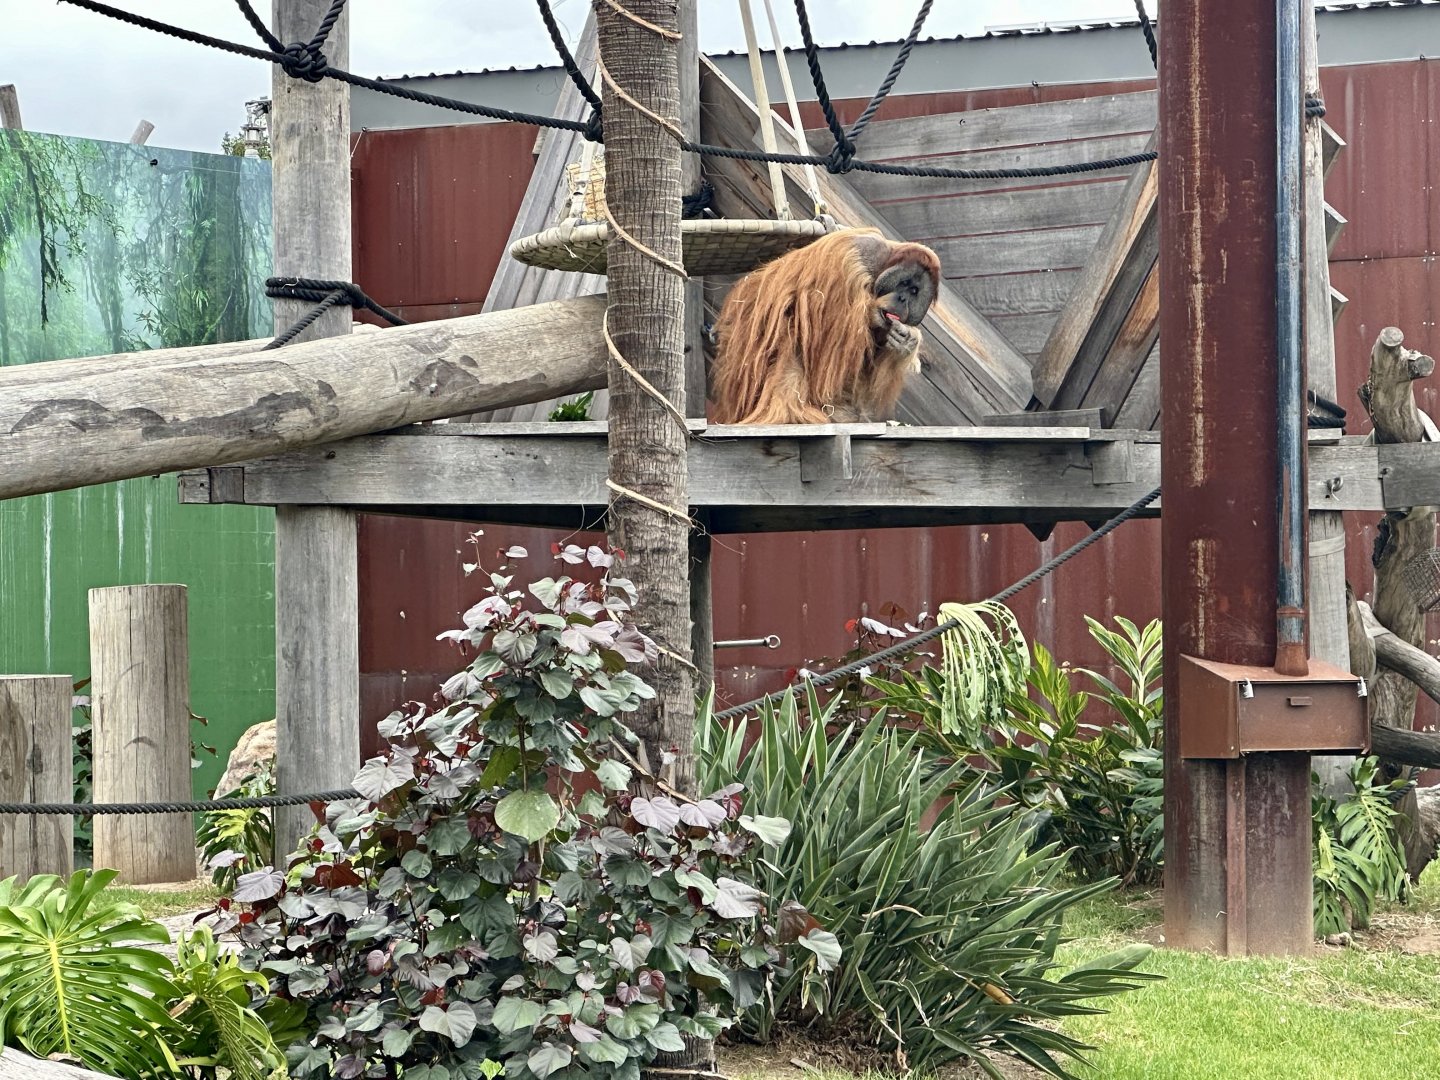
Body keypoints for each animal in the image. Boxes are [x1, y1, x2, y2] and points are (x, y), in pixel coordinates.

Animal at [709, 227, 941, 425]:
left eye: (914, 291)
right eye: (903, 283)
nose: (902, 299)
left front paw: (908, 342)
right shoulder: (850, 264)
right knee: (791, 333)